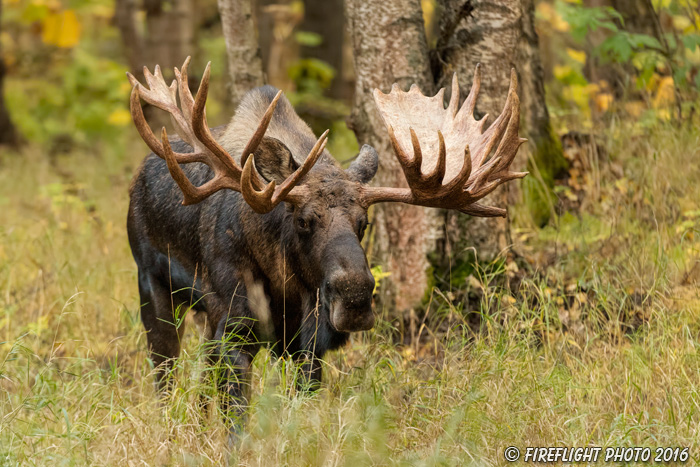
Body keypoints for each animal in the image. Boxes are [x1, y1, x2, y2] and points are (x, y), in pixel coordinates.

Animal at [127, 57, 524, 432]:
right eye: (303, 220)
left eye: (363, 223)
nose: (355, 296)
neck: (283, 282)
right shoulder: (236, 325)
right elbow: (236, 418)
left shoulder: (307, 341)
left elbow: (297, 409)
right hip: (152, 285)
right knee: (165, 372)